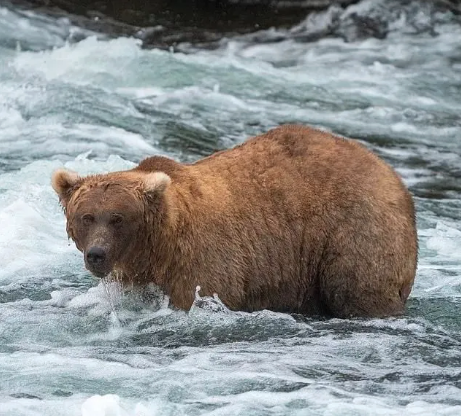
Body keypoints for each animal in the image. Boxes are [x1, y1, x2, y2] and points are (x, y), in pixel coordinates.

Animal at [51, 125, 416, 316]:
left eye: (118, 218)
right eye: (86, 217)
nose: (97, 255)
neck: (157, 249)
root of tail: (391, 173)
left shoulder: (203, 264)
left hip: (355, 229)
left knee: (356, 289)